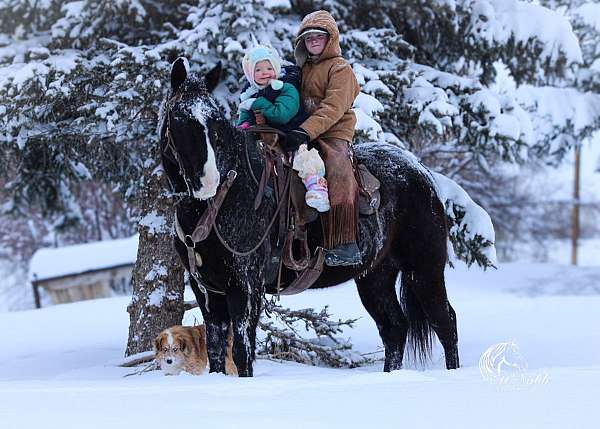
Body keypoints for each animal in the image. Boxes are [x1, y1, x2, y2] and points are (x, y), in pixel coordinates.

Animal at [159, 58, 460, 376]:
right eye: (178, 119)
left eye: (215, 121)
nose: (208, 182)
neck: (224, 201)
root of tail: (421, 172)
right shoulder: (207, 290)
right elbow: (216, 352)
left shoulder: (245, 286)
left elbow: (242, 352)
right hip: (375, 276)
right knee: (394, 329)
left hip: (423, 269)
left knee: (445, 322)